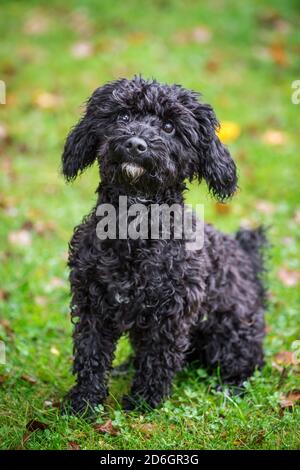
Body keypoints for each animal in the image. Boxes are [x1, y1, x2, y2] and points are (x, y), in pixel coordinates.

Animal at [61, 75, 268, 414]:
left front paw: (144, 402)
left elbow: (159, 360)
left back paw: (230, 387)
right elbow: (90, 355)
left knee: (249, 366)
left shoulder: (171, 313)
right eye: (123, 116)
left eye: (170, 127)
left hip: (231, 332)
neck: (134, 227)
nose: (135, 143)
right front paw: (84, 403)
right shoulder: (92, 305)